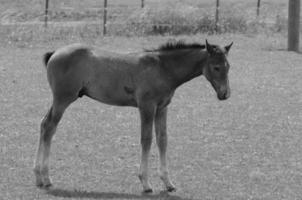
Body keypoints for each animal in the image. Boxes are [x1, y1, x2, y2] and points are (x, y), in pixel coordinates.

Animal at [34, 39, 234, 192]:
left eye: (228, 66)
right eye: (216, 67)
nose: (225, 94)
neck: (163, 68)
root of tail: (55, 53)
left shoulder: (162, 108)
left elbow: (162, 139)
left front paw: (168, 183)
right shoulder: (147, 107)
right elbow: (146, 139)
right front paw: (145, 183)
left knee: (44, 124)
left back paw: (39, 177)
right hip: (63, 99)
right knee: (49, 127)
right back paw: (45, 178)